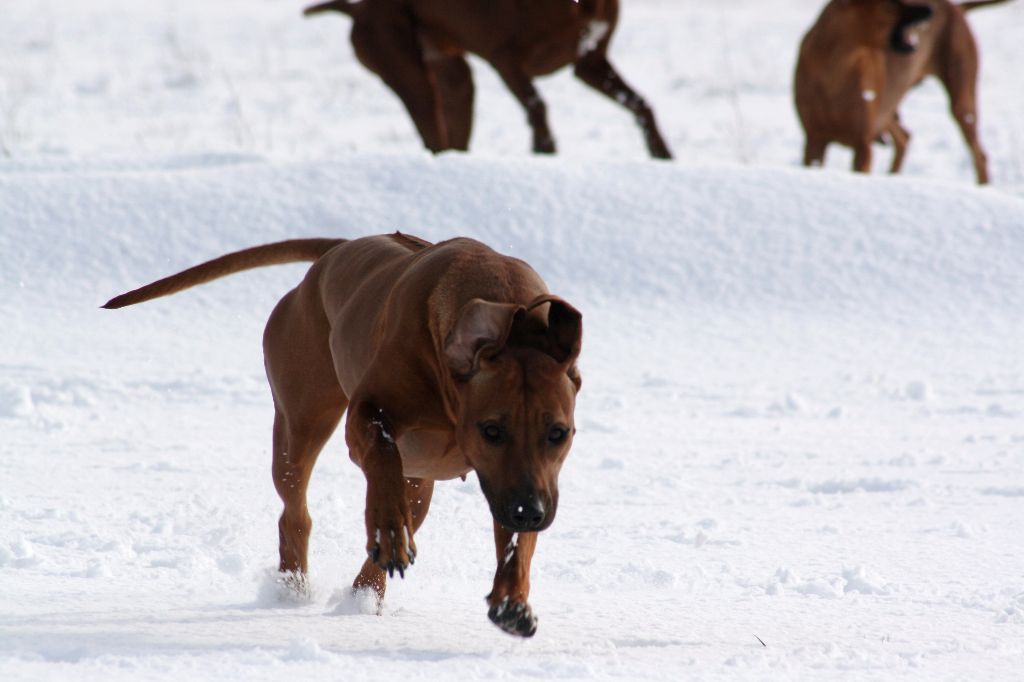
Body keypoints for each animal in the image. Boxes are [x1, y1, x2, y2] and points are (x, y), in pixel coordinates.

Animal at [105, 231, 585, 634]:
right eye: (491, 430)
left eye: (558, 433)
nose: (531, 511)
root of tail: (336, 251)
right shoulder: (367, 419)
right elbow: (382, 454)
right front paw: (388, 526)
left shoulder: (522, 481)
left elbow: (515, 540)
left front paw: (511, 599)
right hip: (301, 420)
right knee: (295, 510)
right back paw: (296, 586)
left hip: (422, 483)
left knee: (401, 517)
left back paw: (363, 596)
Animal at [303, 0, 671, 157]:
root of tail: (357, 8)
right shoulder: (505, 60)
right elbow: (537, 108)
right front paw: (544, 152)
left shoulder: (590, 63)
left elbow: (643, 107)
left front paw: (663, 156)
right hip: (411, 76)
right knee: (433, 137)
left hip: (456, 80)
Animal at [790, 0, 1007, 183]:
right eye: (893, 2)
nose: (930, 10)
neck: (836, 68)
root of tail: (956, 8)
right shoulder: (814, 139)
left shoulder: (863, 145)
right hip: (889, 107)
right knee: (904, 136)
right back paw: (892, 176)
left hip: (961, 97)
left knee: (979, 154)